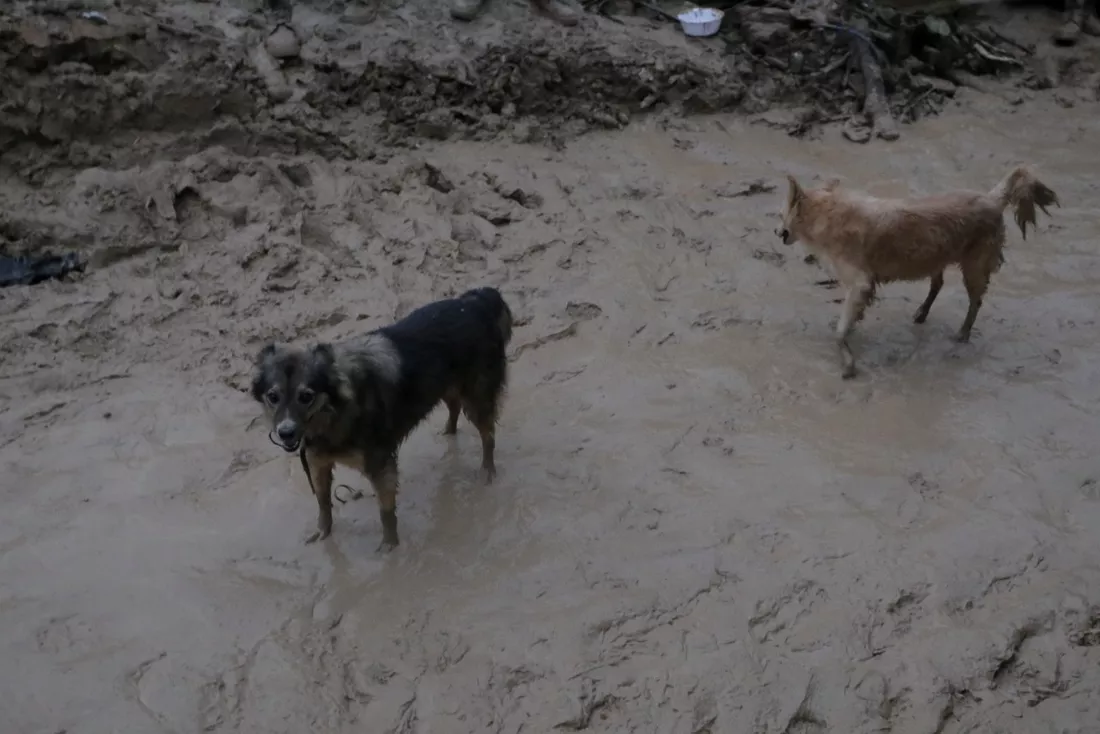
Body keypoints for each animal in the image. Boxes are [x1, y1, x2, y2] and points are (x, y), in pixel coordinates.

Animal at [251, 286, 512, 550]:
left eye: (306, 396)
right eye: (273, 397)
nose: (285, 432)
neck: (337, 412)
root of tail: (475, 301)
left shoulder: (380, 464)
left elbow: (385, 511)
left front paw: (389, 546)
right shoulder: (317, 461)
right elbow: (323, 502)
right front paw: (323, 531)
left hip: (477, 396)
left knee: (488, 434)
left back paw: (487, 470)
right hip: (446, 385)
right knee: (454, 405)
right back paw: (449, 431)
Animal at [774, 168, 1056, 378]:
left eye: (780, 214)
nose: (776, 232)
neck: (828, 213)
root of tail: (992, 198)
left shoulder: (860, 283)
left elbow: (841, 329)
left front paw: (846, 357)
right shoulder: (861, 288)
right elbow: (850, 319)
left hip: (974, 266)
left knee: (975, 301)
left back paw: (963, 334)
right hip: (936, 257)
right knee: (938, 283)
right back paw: (922, 313)